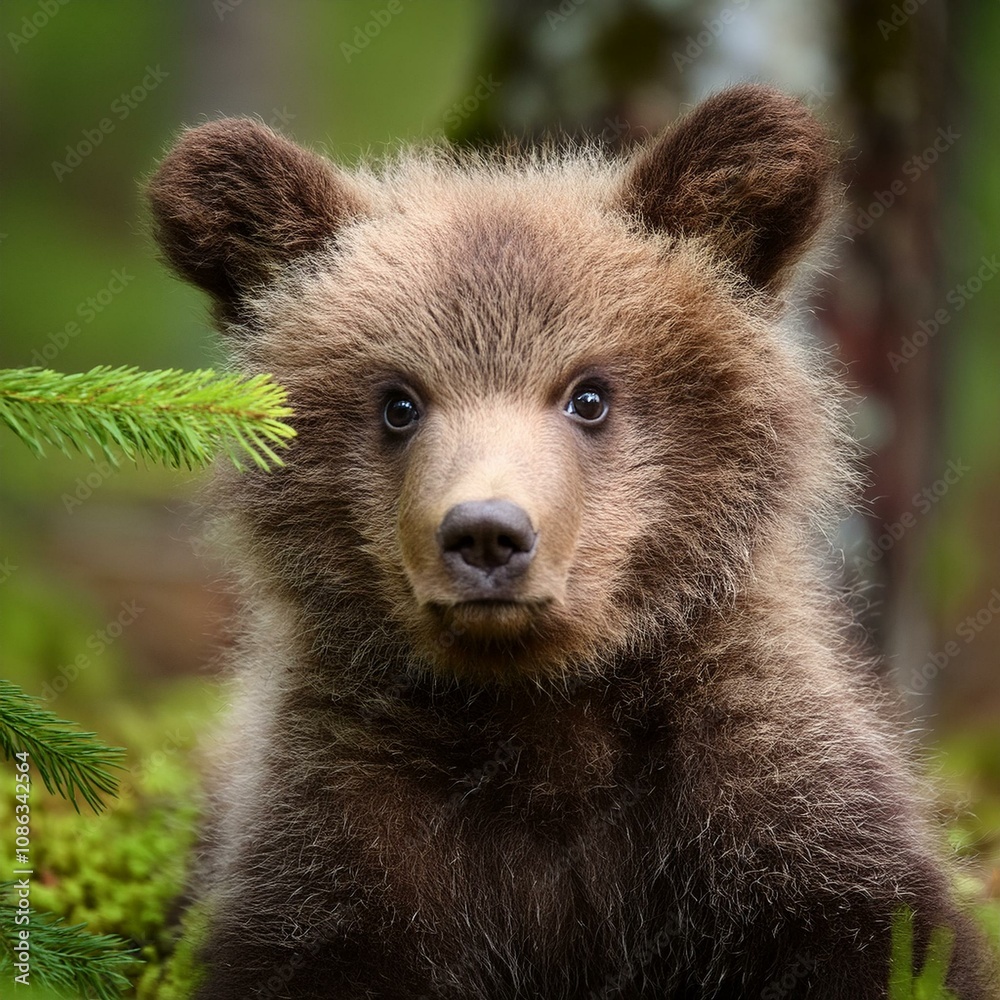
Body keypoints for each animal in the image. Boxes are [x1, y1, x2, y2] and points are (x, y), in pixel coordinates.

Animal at [148, 85, 994, 998]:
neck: (541, 709)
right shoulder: (342, 819)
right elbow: (313, 944)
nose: (487, 534)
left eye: (589, 395)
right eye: (398, 402)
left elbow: (881, 935)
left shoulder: (764, 790)